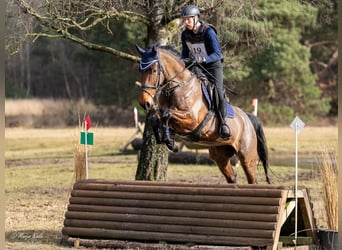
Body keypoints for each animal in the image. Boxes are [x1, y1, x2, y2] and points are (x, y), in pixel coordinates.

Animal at [135, 44, 272, 184]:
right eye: (140, 70)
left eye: (153, 70)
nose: (144, 103)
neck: (177, 87)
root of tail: (247, 118)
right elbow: (155, 118)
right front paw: (162, 137)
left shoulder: (191, 120)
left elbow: (167, 115)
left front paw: (169, 140)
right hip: (220, 155)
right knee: (232, 176)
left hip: (246, 157)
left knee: (252, 178)